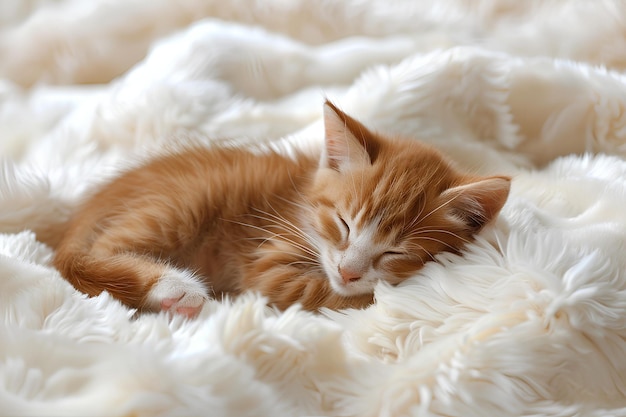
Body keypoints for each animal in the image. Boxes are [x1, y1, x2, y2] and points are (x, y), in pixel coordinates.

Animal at [53, 101, 510, 316]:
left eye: (395, 250)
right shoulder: (269, 264)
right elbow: (341, 298)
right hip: (181, 202)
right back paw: (172, 288)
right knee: (88, 257)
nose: (348, 272)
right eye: (343, 224)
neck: (302, 206)